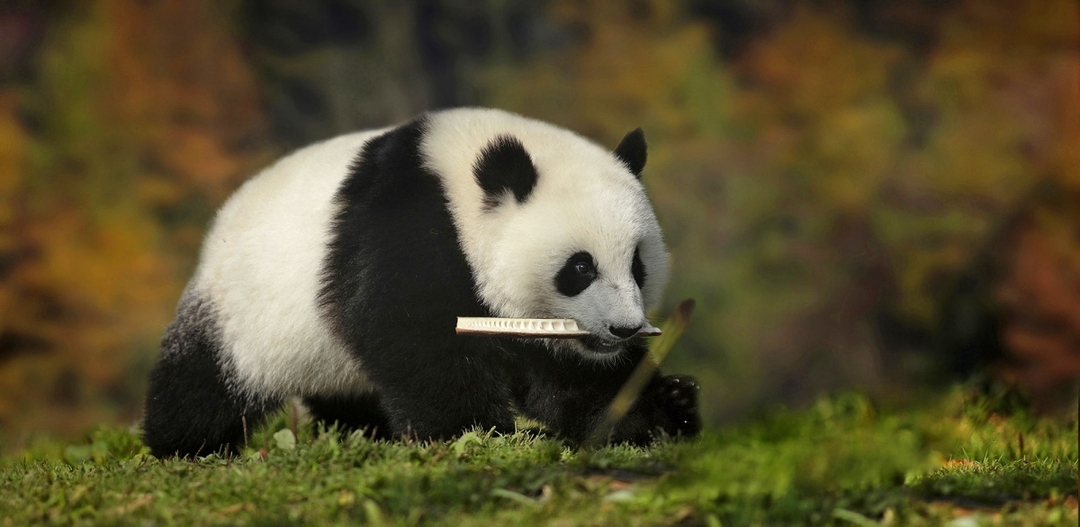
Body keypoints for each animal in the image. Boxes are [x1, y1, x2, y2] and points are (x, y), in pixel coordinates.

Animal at [142, 108, 700, 458]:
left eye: (638, 266)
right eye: (580, 268)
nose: (623, 330)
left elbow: (570, 379)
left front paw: (664, 407)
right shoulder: (405, 229)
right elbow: (411, 338)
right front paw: (474, 434)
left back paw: (365, 432)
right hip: (243, 310)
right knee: (202, 382)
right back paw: (186, 445)